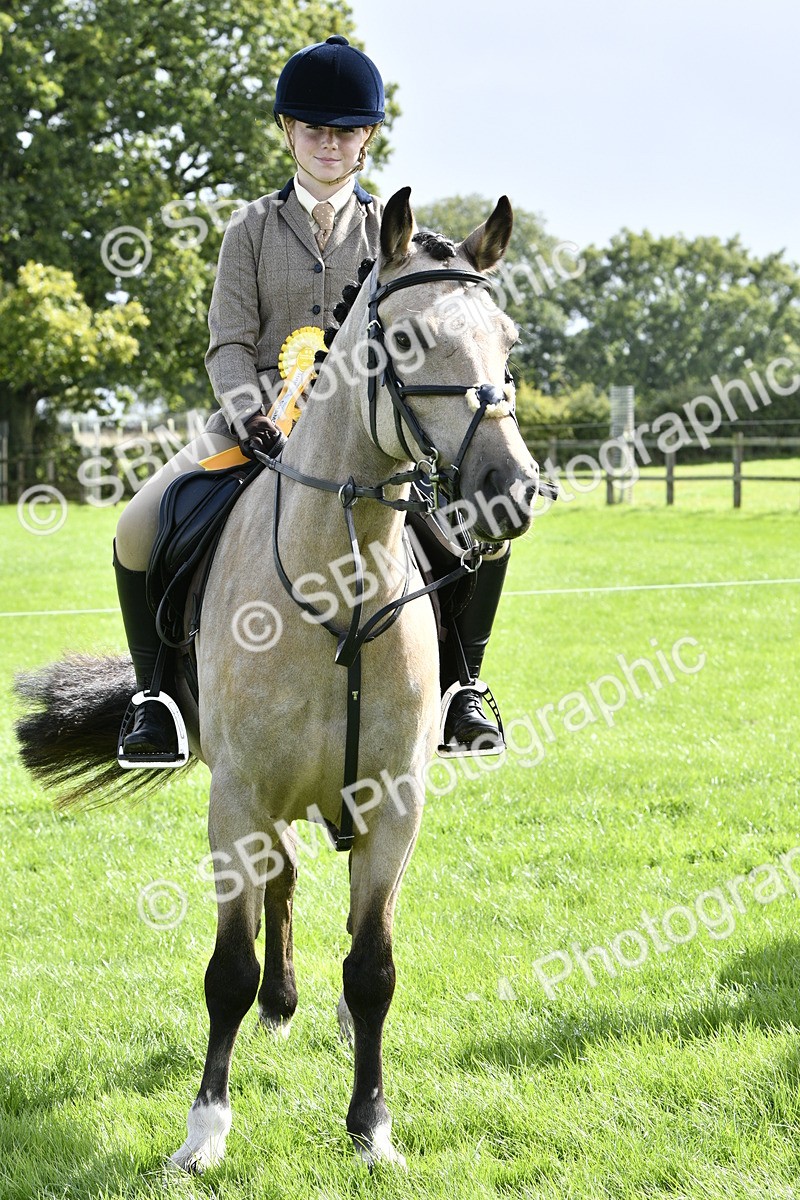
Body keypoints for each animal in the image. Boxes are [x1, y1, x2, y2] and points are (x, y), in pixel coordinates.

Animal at [15, 187, 541, 1173]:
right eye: (405, 340)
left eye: (508, 339)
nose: (510, 491)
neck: (341, 578)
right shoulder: (239, 796)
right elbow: (227, 969)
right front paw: (204, 1132)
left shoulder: (394, 803)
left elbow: (374, 966)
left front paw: (371, 1127)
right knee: (281, 883)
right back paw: (281, 1004)